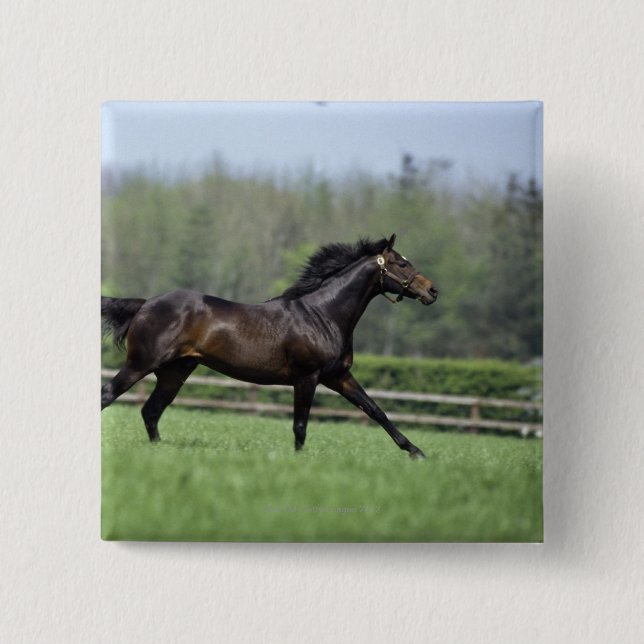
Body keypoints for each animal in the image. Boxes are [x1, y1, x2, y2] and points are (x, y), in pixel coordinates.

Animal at [101, 234, 438, 459]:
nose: (432, 291)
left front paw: (416, 451)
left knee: (151, 411)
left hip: (175, 372)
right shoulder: (307, 377)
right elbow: (300, 424)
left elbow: (375, 410)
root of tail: (146, 303)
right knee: (110, 395)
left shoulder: (338, 376)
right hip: (141, 364)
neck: (322, 315)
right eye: (402, 264)